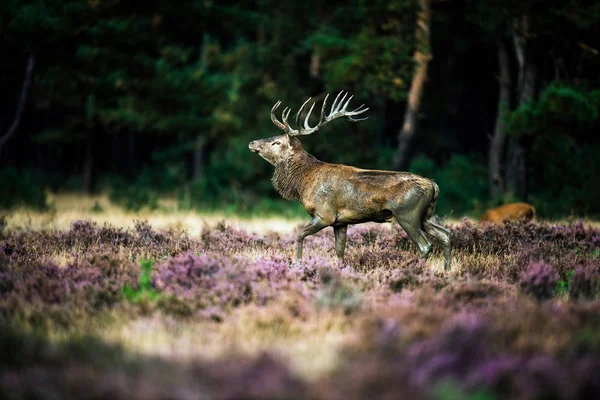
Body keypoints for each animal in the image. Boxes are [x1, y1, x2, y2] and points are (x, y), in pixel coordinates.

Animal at [247, 92, 450, 270]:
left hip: (407, 214)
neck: (303, 183)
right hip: (425, 215)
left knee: (425, 245)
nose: (252, 143)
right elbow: (339, 251)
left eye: (277, 142)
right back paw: (446, 270)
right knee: (446, 234)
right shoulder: (340, 222)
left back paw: (416, 268)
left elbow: (298, 236)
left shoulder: (324, 214)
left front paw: (297, 265)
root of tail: (434, 186)